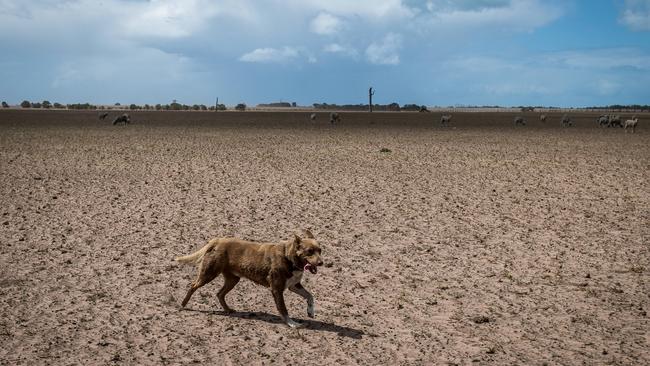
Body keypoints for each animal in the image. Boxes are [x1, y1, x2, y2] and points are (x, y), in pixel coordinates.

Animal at [175, 230, 322, 328]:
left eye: (320, 250)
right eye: (309, 251)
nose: (321, 263)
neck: (289, 257)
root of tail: (217, 240)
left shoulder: (293, 285)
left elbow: (310, 296)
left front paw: (310, 311)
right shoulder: (277, 289)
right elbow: (283, 308)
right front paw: (291, 323)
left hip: (233, 279)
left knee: (220, 293)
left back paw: (228, 309)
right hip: (209, 273)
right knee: (193, 285)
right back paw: (183, 304)